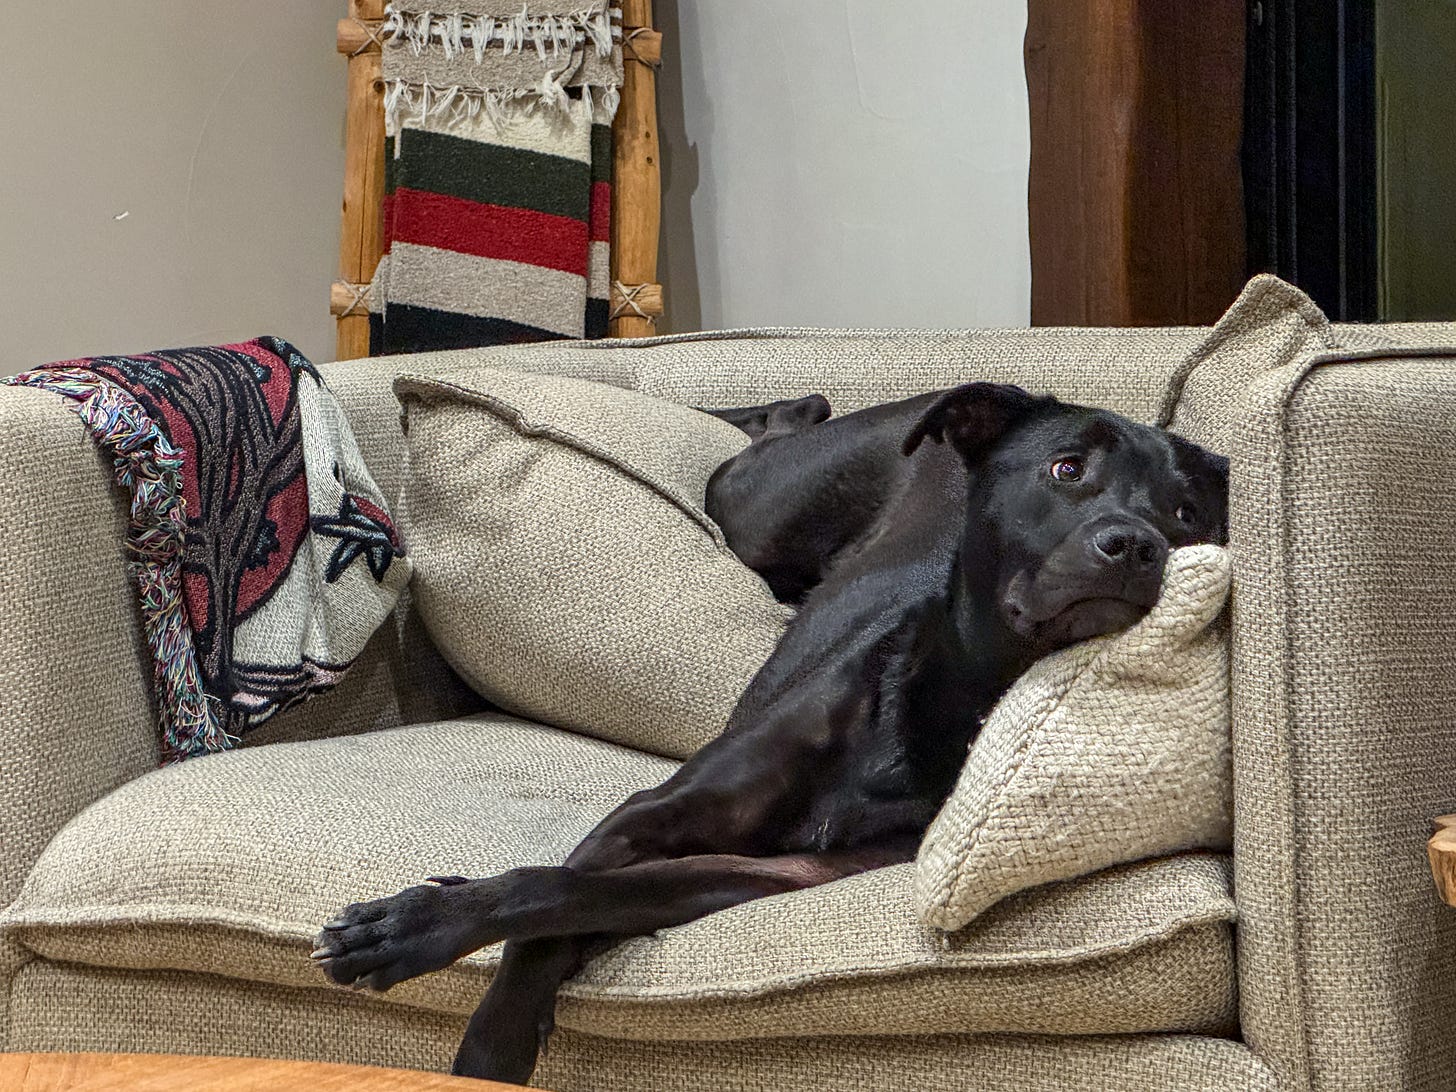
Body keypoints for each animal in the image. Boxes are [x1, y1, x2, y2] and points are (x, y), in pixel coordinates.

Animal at [315, 381, 1228, 1083]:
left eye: (1186, 513)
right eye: (1067, 469)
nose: (1138, 546)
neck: (938, 702)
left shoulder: (784, 874)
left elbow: (570, 897)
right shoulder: (651, 812)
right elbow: (543, 897)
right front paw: (448, 980)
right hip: (763, 511)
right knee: (759, 447)